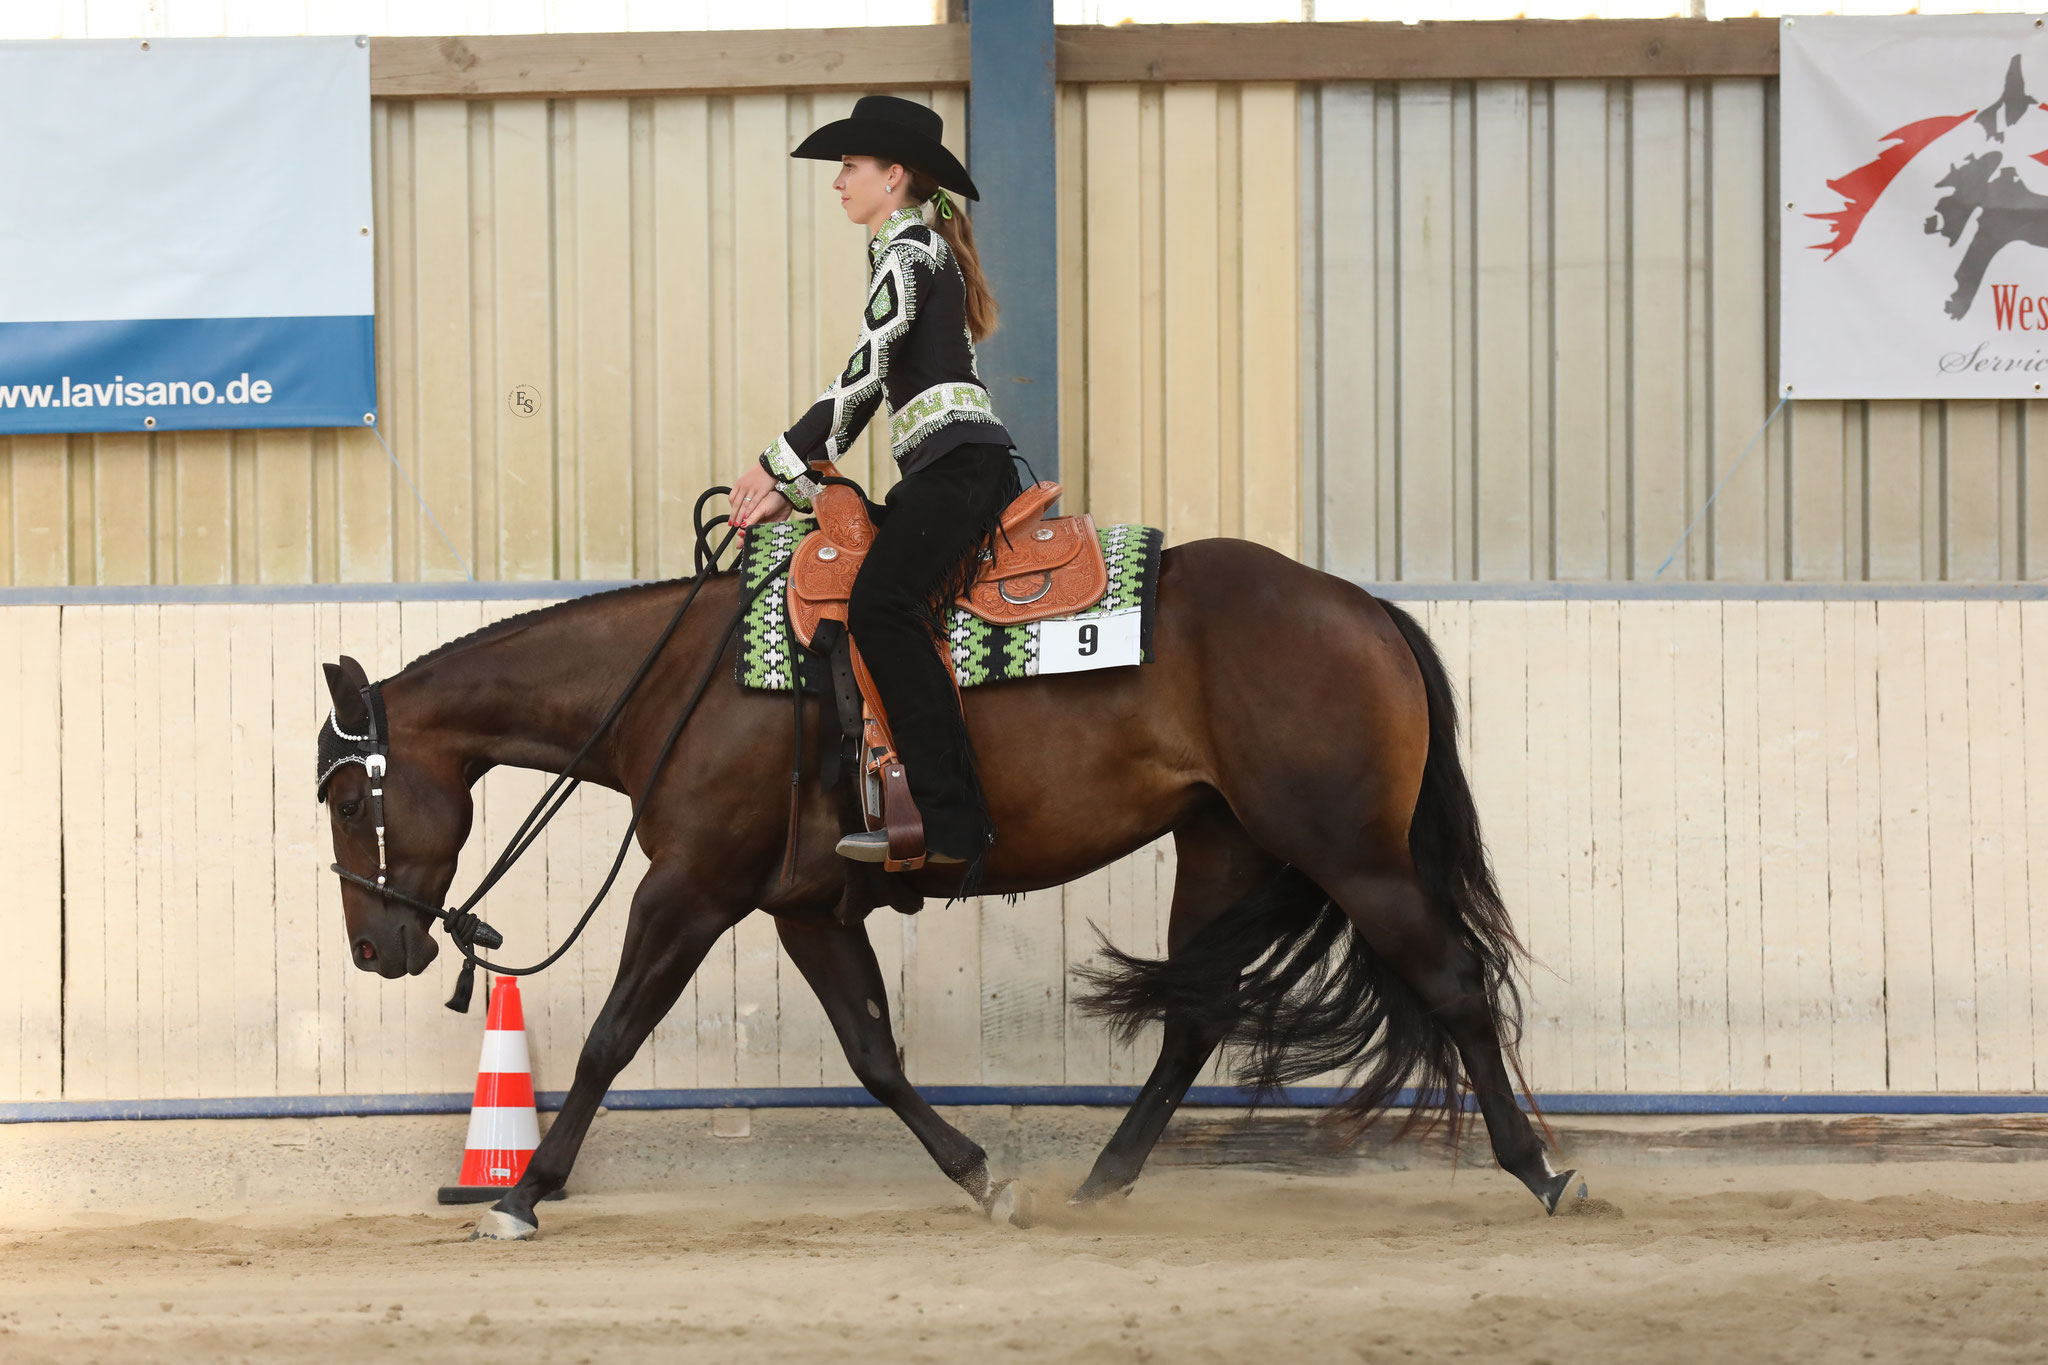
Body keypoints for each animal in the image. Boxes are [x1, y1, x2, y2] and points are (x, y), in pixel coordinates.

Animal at [319, 540, 1572, 1244]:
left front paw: (523, 1193)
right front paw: (983, 1181)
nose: (376, 951)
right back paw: (1101, 1182)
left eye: (341, 795)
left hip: (1349, 851)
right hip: (1223, 849)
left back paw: (1539, 1170)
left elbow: (609, 1040)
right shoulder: (803, 910)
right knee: (1194, 1018)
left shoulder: (689, 890)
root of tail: (1357, 606)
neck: (686, 683)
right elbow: (874, 1055)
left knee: (1451, 986)